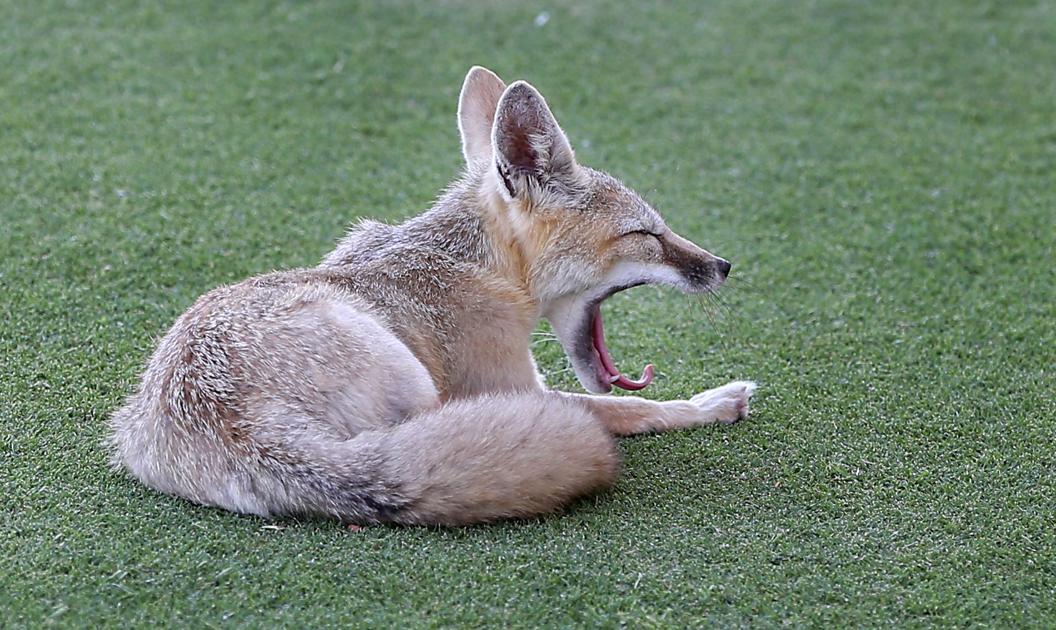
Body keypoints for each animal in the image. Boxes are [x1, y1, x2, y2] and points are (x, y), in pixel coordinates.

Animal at [108, 66, 756, 526]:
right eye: (647, 235)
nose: (722, 266)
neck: (475, 266)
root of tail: (241, 429)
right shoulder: (512, 385)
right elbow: (633, 408)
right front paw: (709, 404)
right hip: (419, 383)